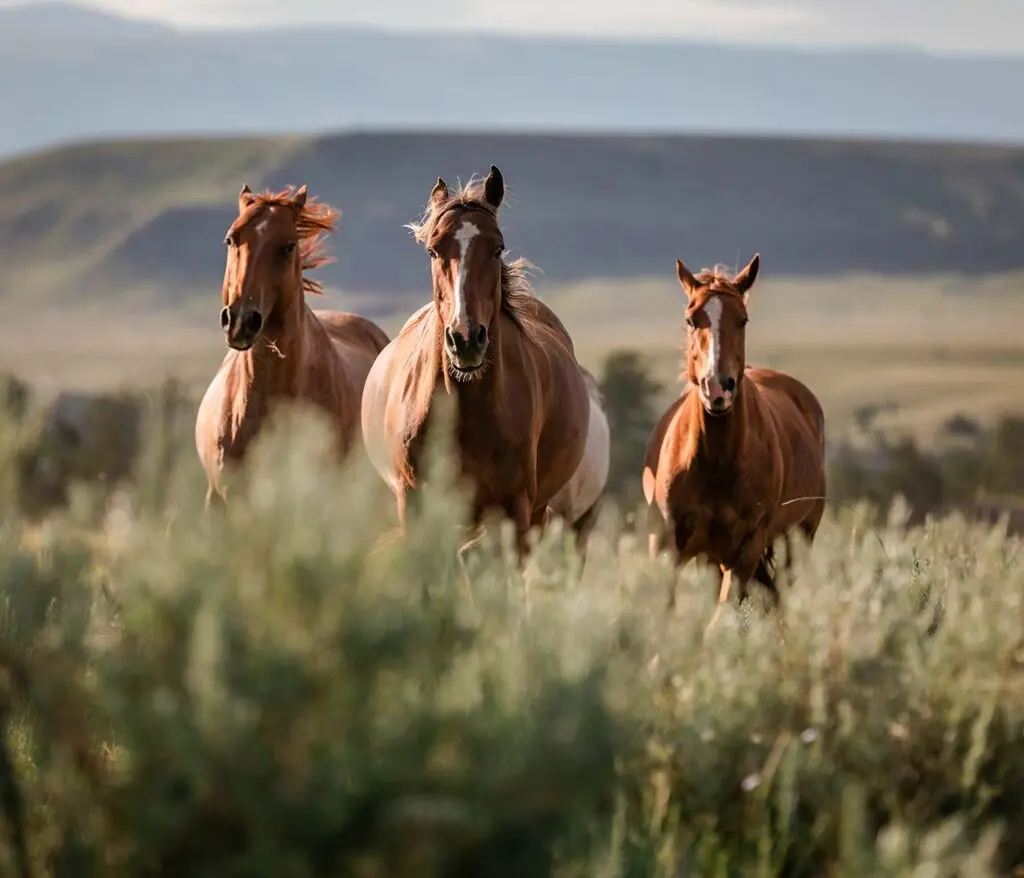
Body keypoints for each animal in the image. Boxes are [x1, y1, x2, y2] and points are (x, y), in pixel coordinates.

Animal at [642, 253, 826, 635]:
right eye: (691, 318)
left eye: (743, 319)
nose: (718, 388)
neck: (714, 461)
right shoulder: (668, 543)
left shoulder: (745, 551)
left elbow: (721, 618)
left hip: (796, 540)